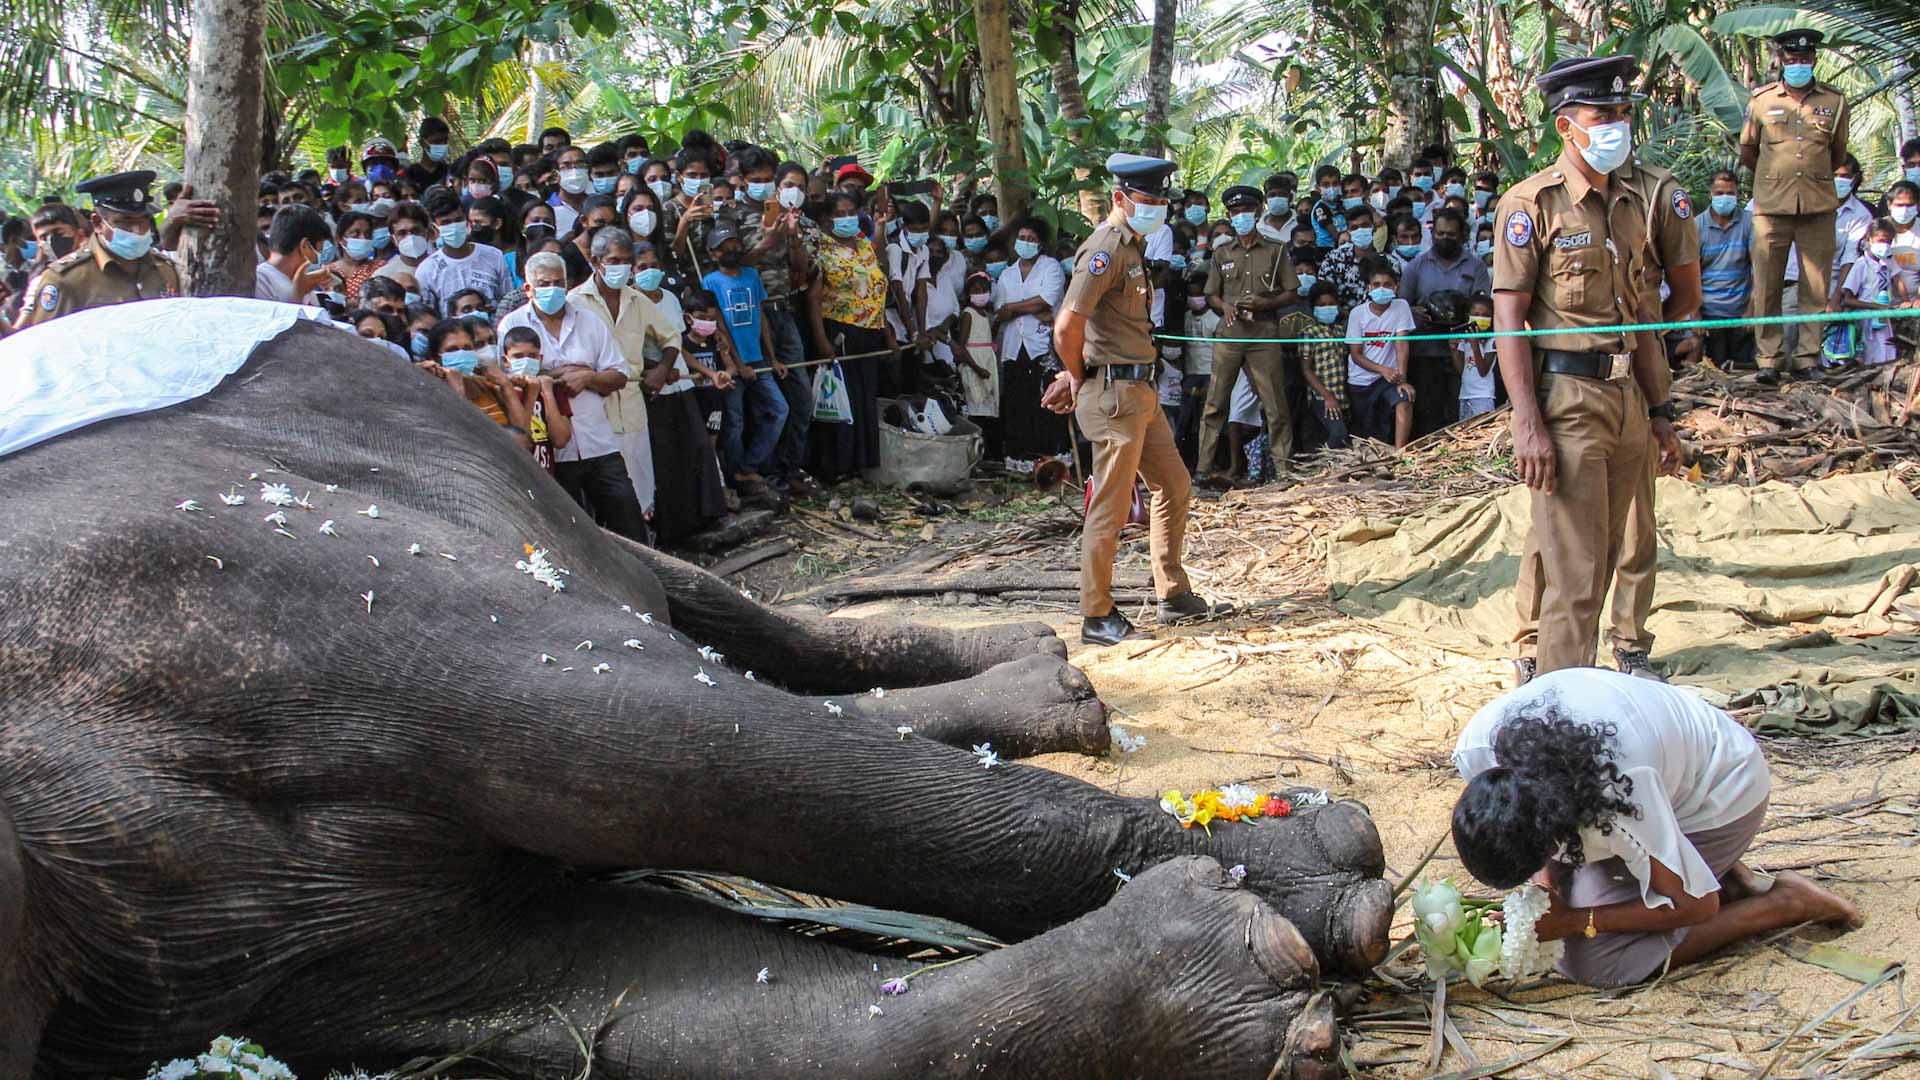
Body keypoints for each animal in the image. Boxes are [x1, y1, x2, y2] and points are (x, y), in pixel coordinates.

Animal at [0, 312, 1391, 1078]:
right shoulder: (240, 961)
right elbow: (667, 1015)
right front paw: (1251, 983)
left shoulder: (241, 575)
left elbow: (654, 738)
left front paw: (1321, 875)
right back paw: (1052, 686)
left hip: (523, 487)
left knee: (713, 624)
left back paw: (1050, 670)